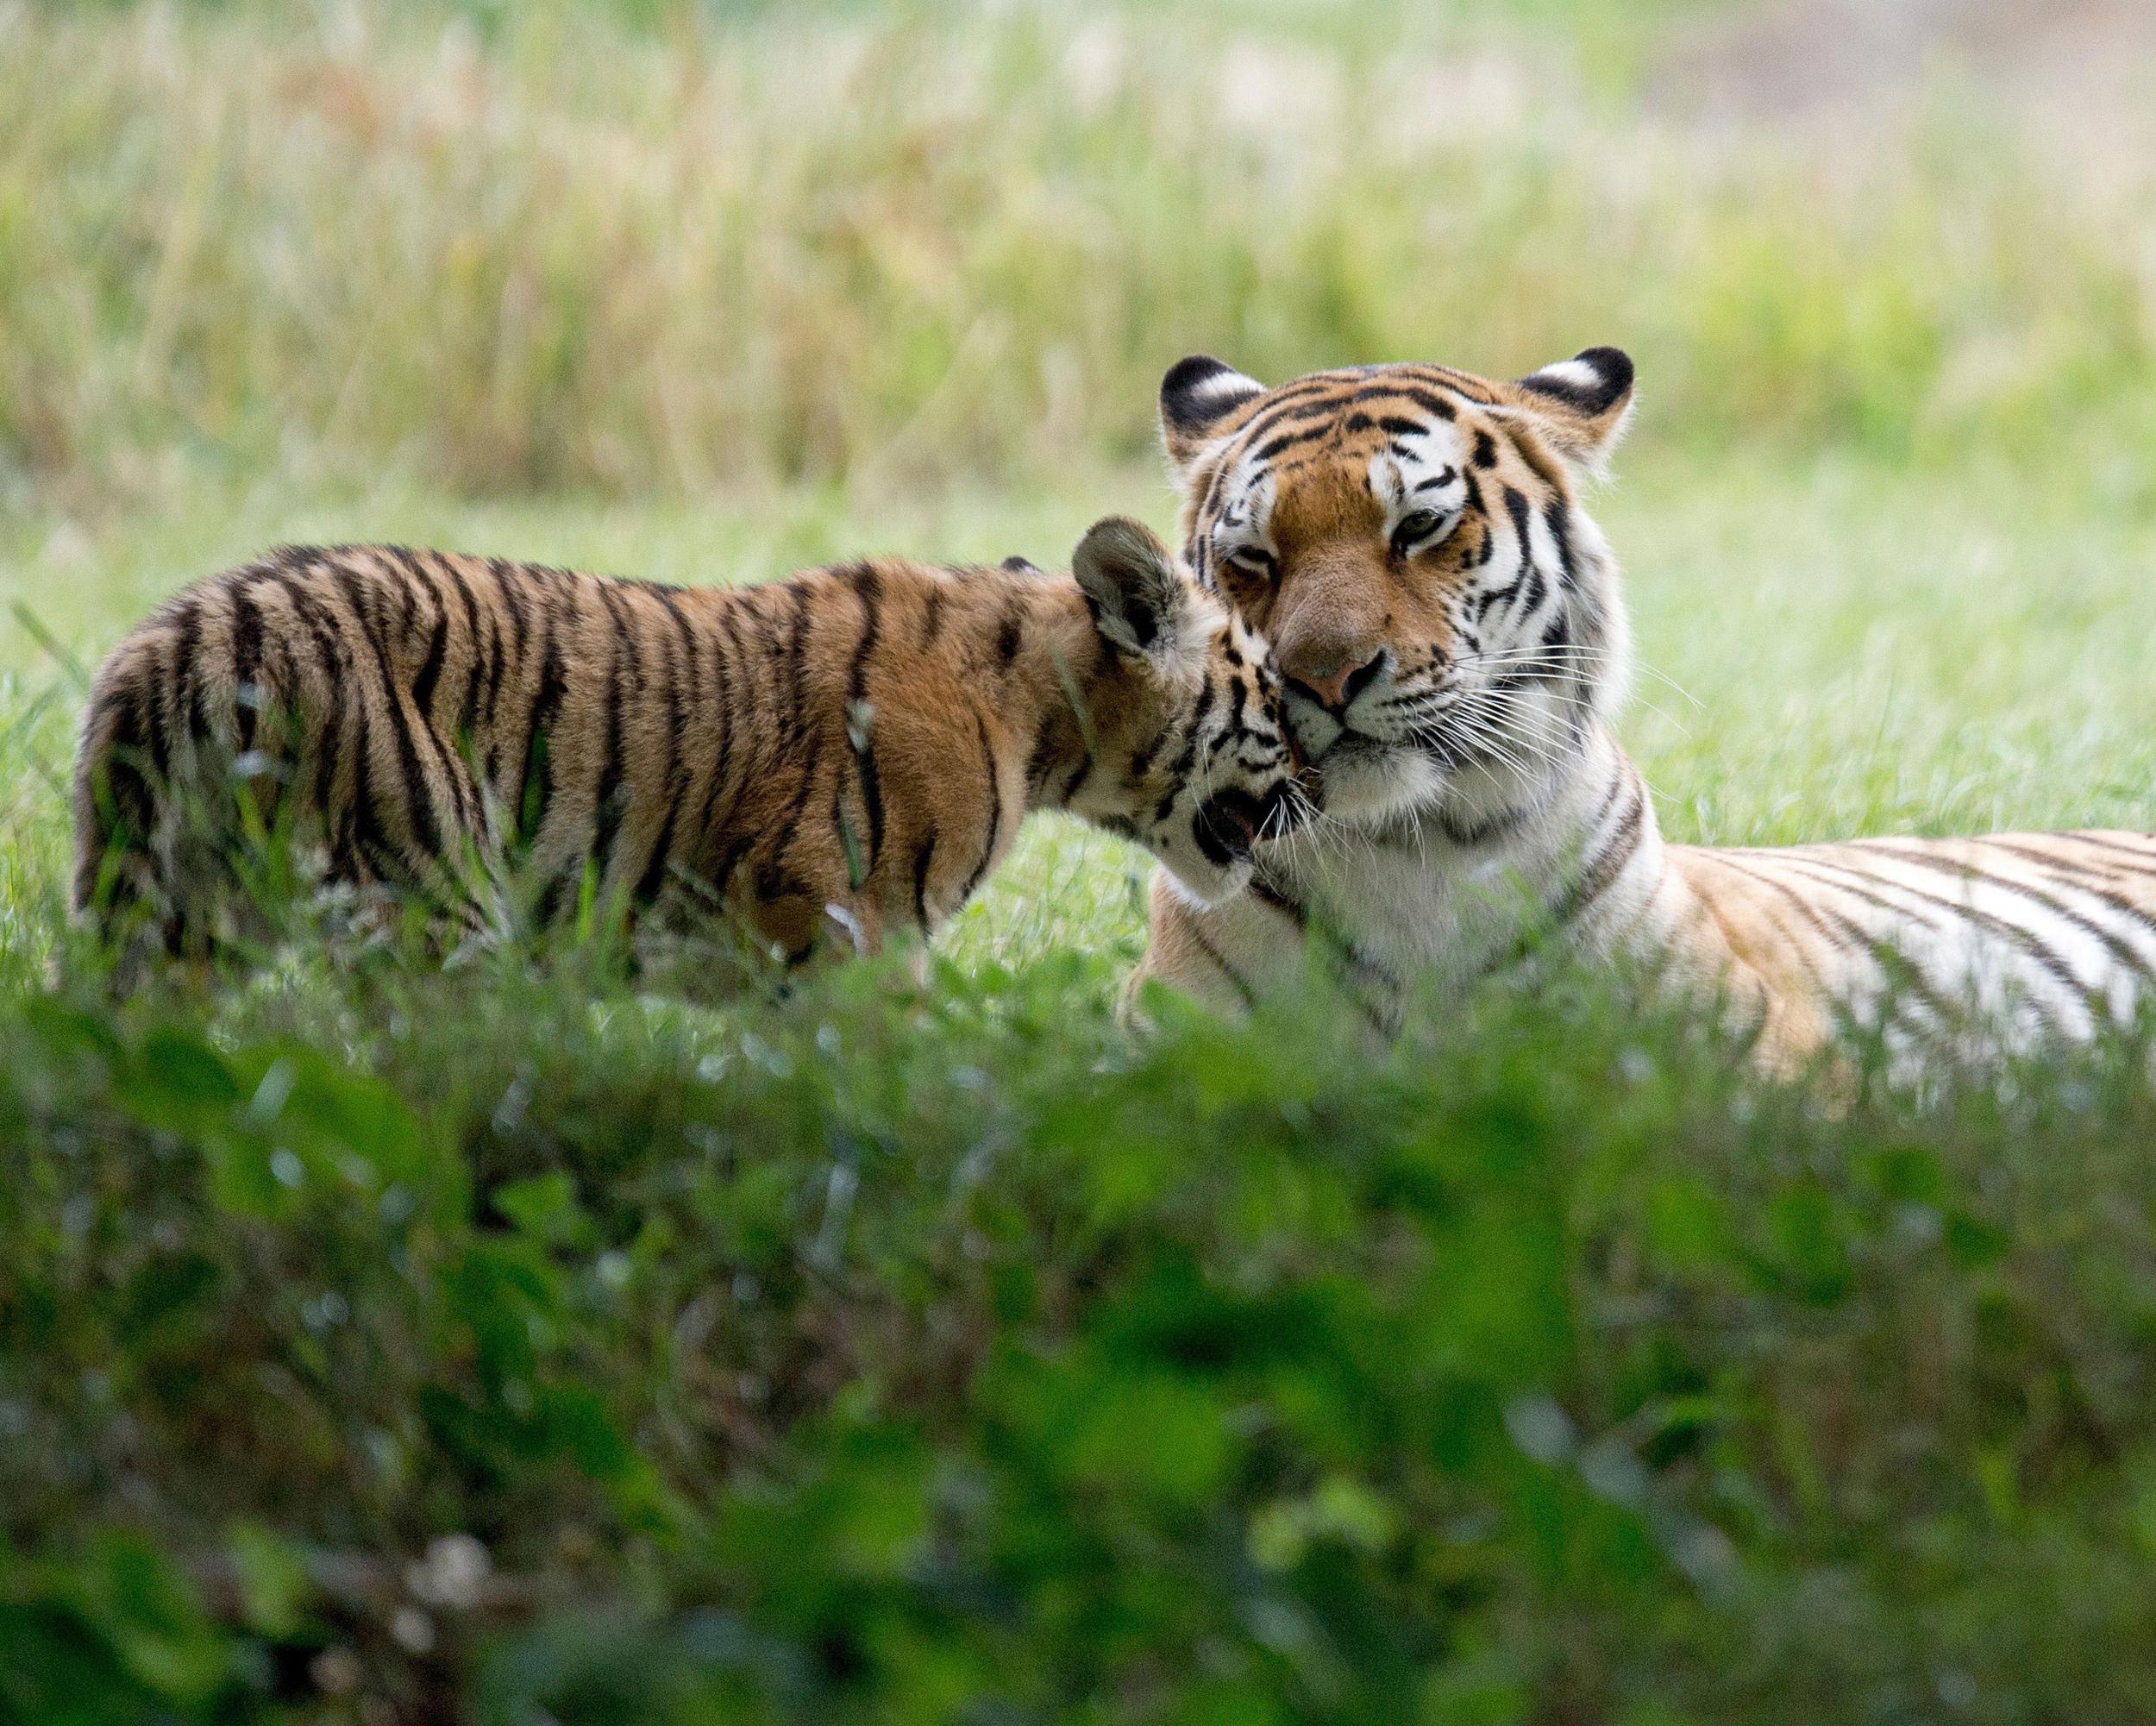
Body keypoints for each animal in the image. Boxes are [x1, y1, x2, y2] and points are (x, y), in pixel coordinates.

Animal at [76, 513, 1302, 970]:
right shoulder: (842, 919)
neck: (1048, 722)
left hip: (165, 919)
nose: (1320, 783)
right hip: (432, 899)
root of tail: (189, 630)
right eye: (1278, 702)